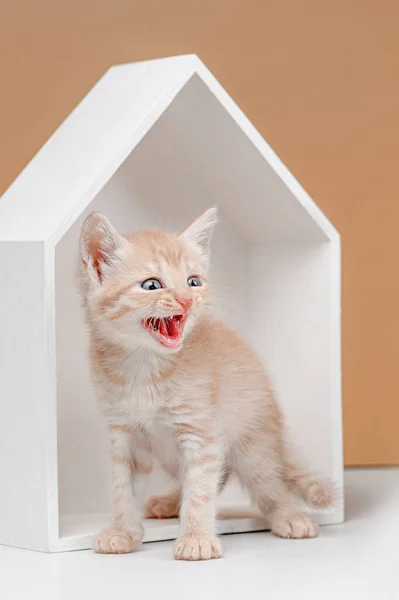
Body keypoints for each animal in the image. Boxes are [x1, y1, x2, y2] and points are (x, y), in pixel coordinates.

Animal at [78, 209, 334, 560]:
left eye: (193, 281)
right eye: (151, 285)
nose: (188, 300)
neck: (145, 367)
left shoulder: (199, 429)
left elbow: (200, 487)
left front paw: (196, 538)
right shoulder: (125, 435)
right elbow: (122, 488)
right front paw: (122, 532)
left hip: (252, 443)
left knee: (268, 481)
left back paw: (290, 516)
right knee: (221, 474)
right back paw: (170, 502)